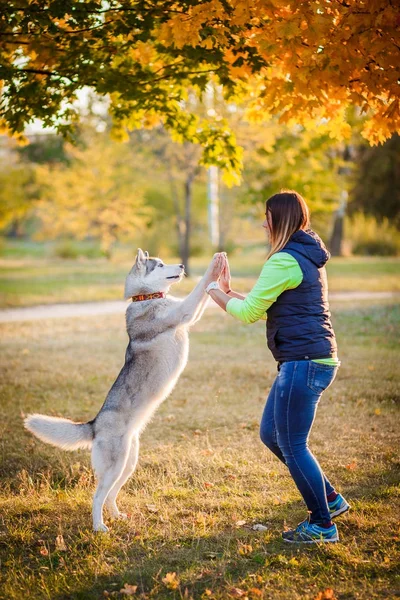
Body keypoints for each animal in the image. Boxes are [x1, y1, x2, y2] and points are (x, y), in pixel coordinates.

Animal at [25, 251, 225, 532]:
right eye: (160, 265)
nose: (182, 265)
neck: (146, 298)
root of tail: (95, 424)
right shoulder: (185, 311)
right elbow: (199, 289)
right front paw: (214, 267)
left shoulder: (188, 314)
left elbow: (204, 295)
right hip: (115, 466)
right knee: (97, 496)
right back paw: (99, 526)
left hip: (127, 465)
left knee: (110, 495)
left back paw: (116, 515)